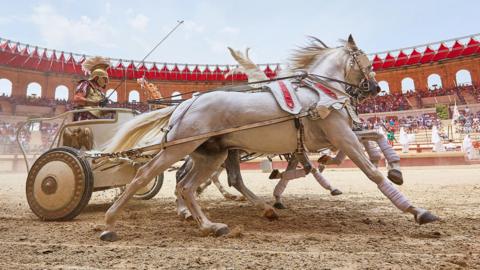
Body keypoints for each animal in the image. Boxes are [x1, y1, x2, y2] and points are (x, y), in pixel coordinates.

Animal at [101, 35, 438, 240]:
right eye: (365, 59)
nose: (375, 88)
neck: (319, 93)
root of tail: (185, 104)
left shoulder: (328, 139)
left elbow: (375, 135)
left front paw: (395, 168)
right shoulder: (341, 135)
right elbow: (370, 171)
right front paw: (416, 210)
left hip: (212, 154)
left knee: (189, 185)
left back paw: (211, 224)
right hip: (180, 149)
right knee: (146, 175)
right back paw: (110, 221)